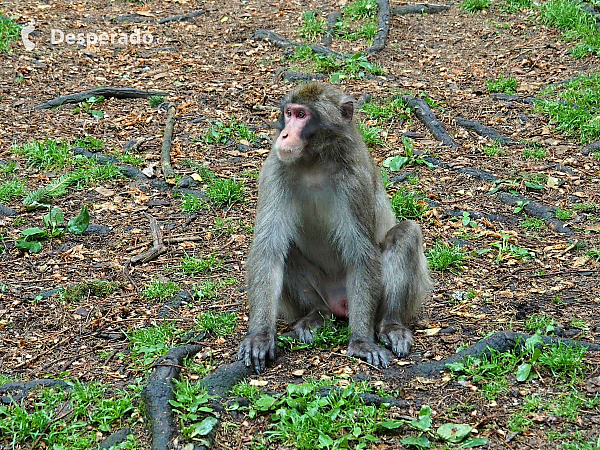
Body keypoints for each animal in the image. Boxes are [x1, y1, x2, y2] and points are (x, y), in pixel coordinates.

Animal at [239, 81, 432, 372]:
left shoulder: (354, 178)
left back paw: (391, 324)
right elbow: (268, 249)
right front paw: (260, 336)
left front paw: (361, 341)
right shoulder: (275, 168)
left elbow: (361, 254)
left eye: (302, 115)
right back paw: (315, 315)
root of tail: (340, 302)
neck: (314, 161)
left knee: (406, 234)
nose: (284, 135)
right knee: (288, 250)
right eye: (289, 113)